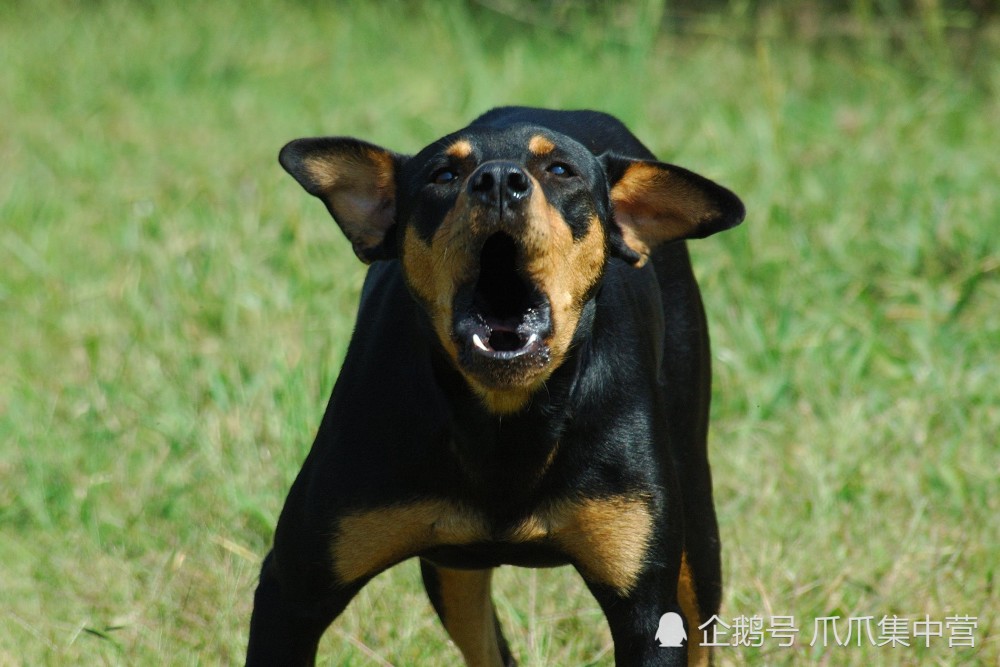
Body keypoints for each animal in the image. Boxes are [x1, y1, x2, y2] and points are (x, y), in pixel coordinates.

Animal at [247, 107, 748, 664]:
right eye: (443, 175)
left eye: (561, 170)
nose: (500, 181)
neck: (505, 418)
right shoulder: (293, 590)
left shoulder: (647, 605)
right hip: (453, 568)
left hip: (696, 519)